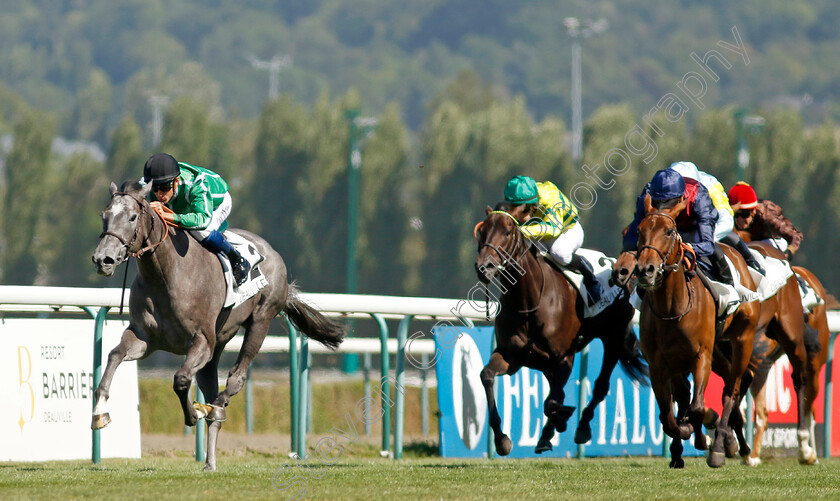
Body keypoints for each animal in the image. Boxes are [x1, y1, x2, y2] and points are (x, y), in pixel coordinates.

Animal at [90, 182, 342, 470]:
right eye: (104, 215)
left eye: (132, 217)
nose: (103, 259)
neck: (165, 274)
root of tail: (273, 252)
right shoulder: (144, 338)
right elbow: (114, 355)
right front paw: (99, 413)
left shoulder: (201, 340)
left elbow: (181, 380)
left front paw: (192, 414)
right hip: (218, 343)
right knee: (211, 387)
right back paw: (209, 461)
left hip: (261, 319)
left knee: (236, 378)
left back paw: (218, 405)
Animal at [476, 205, 648, 456]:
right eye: (482, 232)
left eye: (507, 232)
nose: (483, 268)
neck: (528, 303)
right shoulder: (512, 356)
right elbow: (487, 376)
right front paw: (502, 439)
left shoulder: (563, 358)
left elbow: (552, 403)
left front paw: (561, 421)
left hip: (613, 337)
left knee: (600, 386)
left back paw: (582, 426)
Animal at [628, 193, 756, 466]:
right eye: (640, 230)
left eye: (668, 231)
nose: (645, 270)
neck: (672, 309)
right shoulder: (660, 364)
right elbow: (668, 415)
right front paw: (684, 436)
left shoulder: (701, 356)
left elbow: (696, 406)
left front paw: (703, 435)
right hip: (715, 350)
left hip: (743, 339)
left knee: (732, 389)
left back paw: (721, 445)